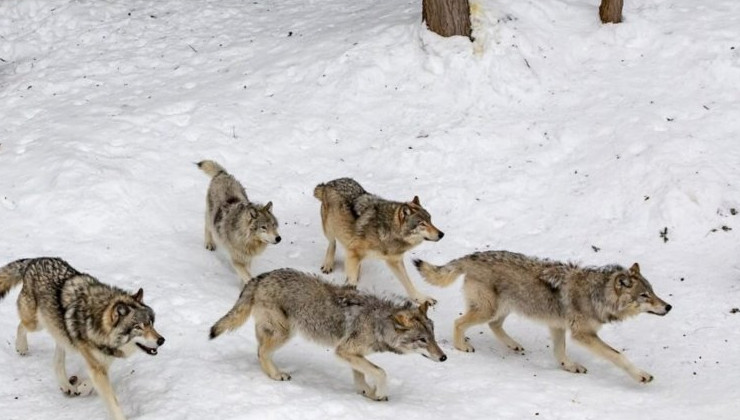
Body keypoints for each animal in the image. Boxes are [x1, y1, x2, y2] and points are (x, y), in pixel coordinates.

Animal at [0, 256, 165, 420]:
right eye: (138, 327)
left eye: (151, 324)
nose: (161, 340)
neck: (97, 322)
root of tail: (34, 260)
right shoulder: (97, 364)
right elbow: (112, 401)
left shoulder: (102, 360)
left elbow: (94, 379)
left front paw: (83, 388)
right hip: (36, 324)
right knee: (21, 326)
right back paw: (21, 347)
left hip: (60, 332)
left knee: (57, 360)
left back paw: (66, 385)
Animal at [208, 268, 446, 402]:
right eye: (422, 340)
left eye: (433, 337)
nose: (444, 357)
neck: (377, 323)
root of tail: (261, 277)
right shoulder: (344, 351)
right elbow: (381, 372)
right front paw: (378, 392)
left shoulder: (351, 353)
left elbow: (361, 375)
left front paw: (367, 392)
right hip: (285, 333)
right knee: (261, 352)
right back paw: (276, 375)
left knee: (259, 349)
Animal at [310, 177, 440, 306]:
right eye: (422, 224)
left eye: (430, 220)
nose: (441, 234)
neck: (387, 231)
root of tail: (329, 183)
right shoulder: (354, 251)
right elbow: (351, 280)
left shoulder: (395, 261)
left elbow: (409, 284)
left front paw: (422, 299)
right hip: (330, 229)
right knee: (332, 243)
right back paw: (328, 265)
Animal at [414, 249, 672, 384]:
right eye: (645, 295)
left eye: (653, 292)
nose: (669, 307)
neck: (597, 295)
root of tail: (472, 256)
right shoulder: (583, 335)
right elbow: (618, 356)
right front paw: (641, 375)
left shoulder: (558, 326)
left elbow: (560, 352)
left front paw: (569, 366)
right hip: (489, 309)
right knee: (459, 322)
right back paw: (462, 346)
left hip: (504, 309)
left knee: (494, 325)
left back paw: (513, 345)